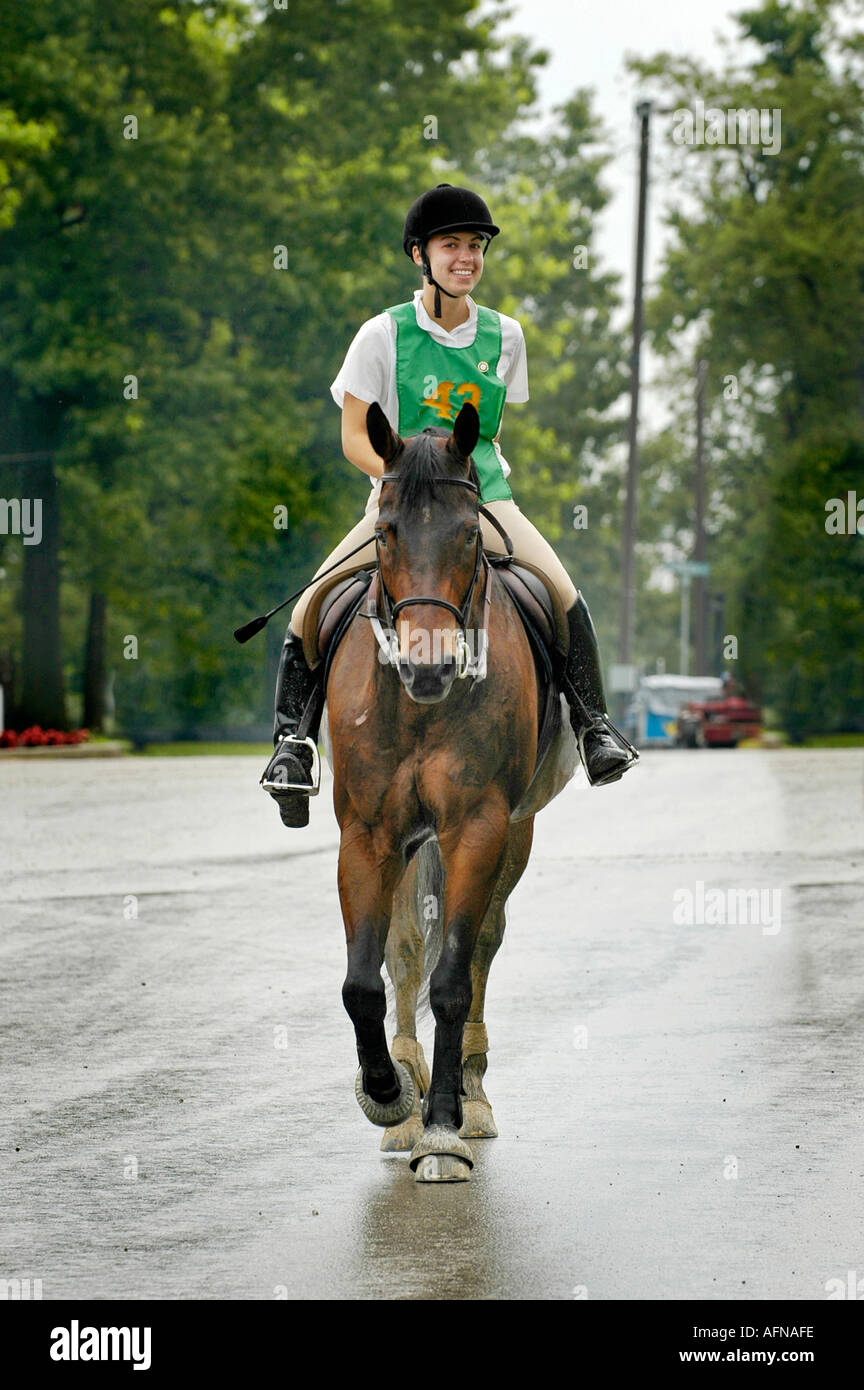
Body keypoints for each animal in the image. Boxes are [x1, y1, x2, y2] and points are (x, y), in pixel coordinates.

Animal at [323, 400, 577, 1181]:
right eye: (385, 533)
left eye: (468, 533)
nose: (427, 668)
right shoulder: (368, 834)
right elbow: (366, 978)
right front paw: (388, 1095)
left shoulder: (478, 828)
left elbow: (455, 979)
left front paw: (441, 1128)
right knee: (406, 949)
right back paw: (407, 1082)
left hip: (513, 835)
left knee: (483, 947)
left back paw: (470, 1092)